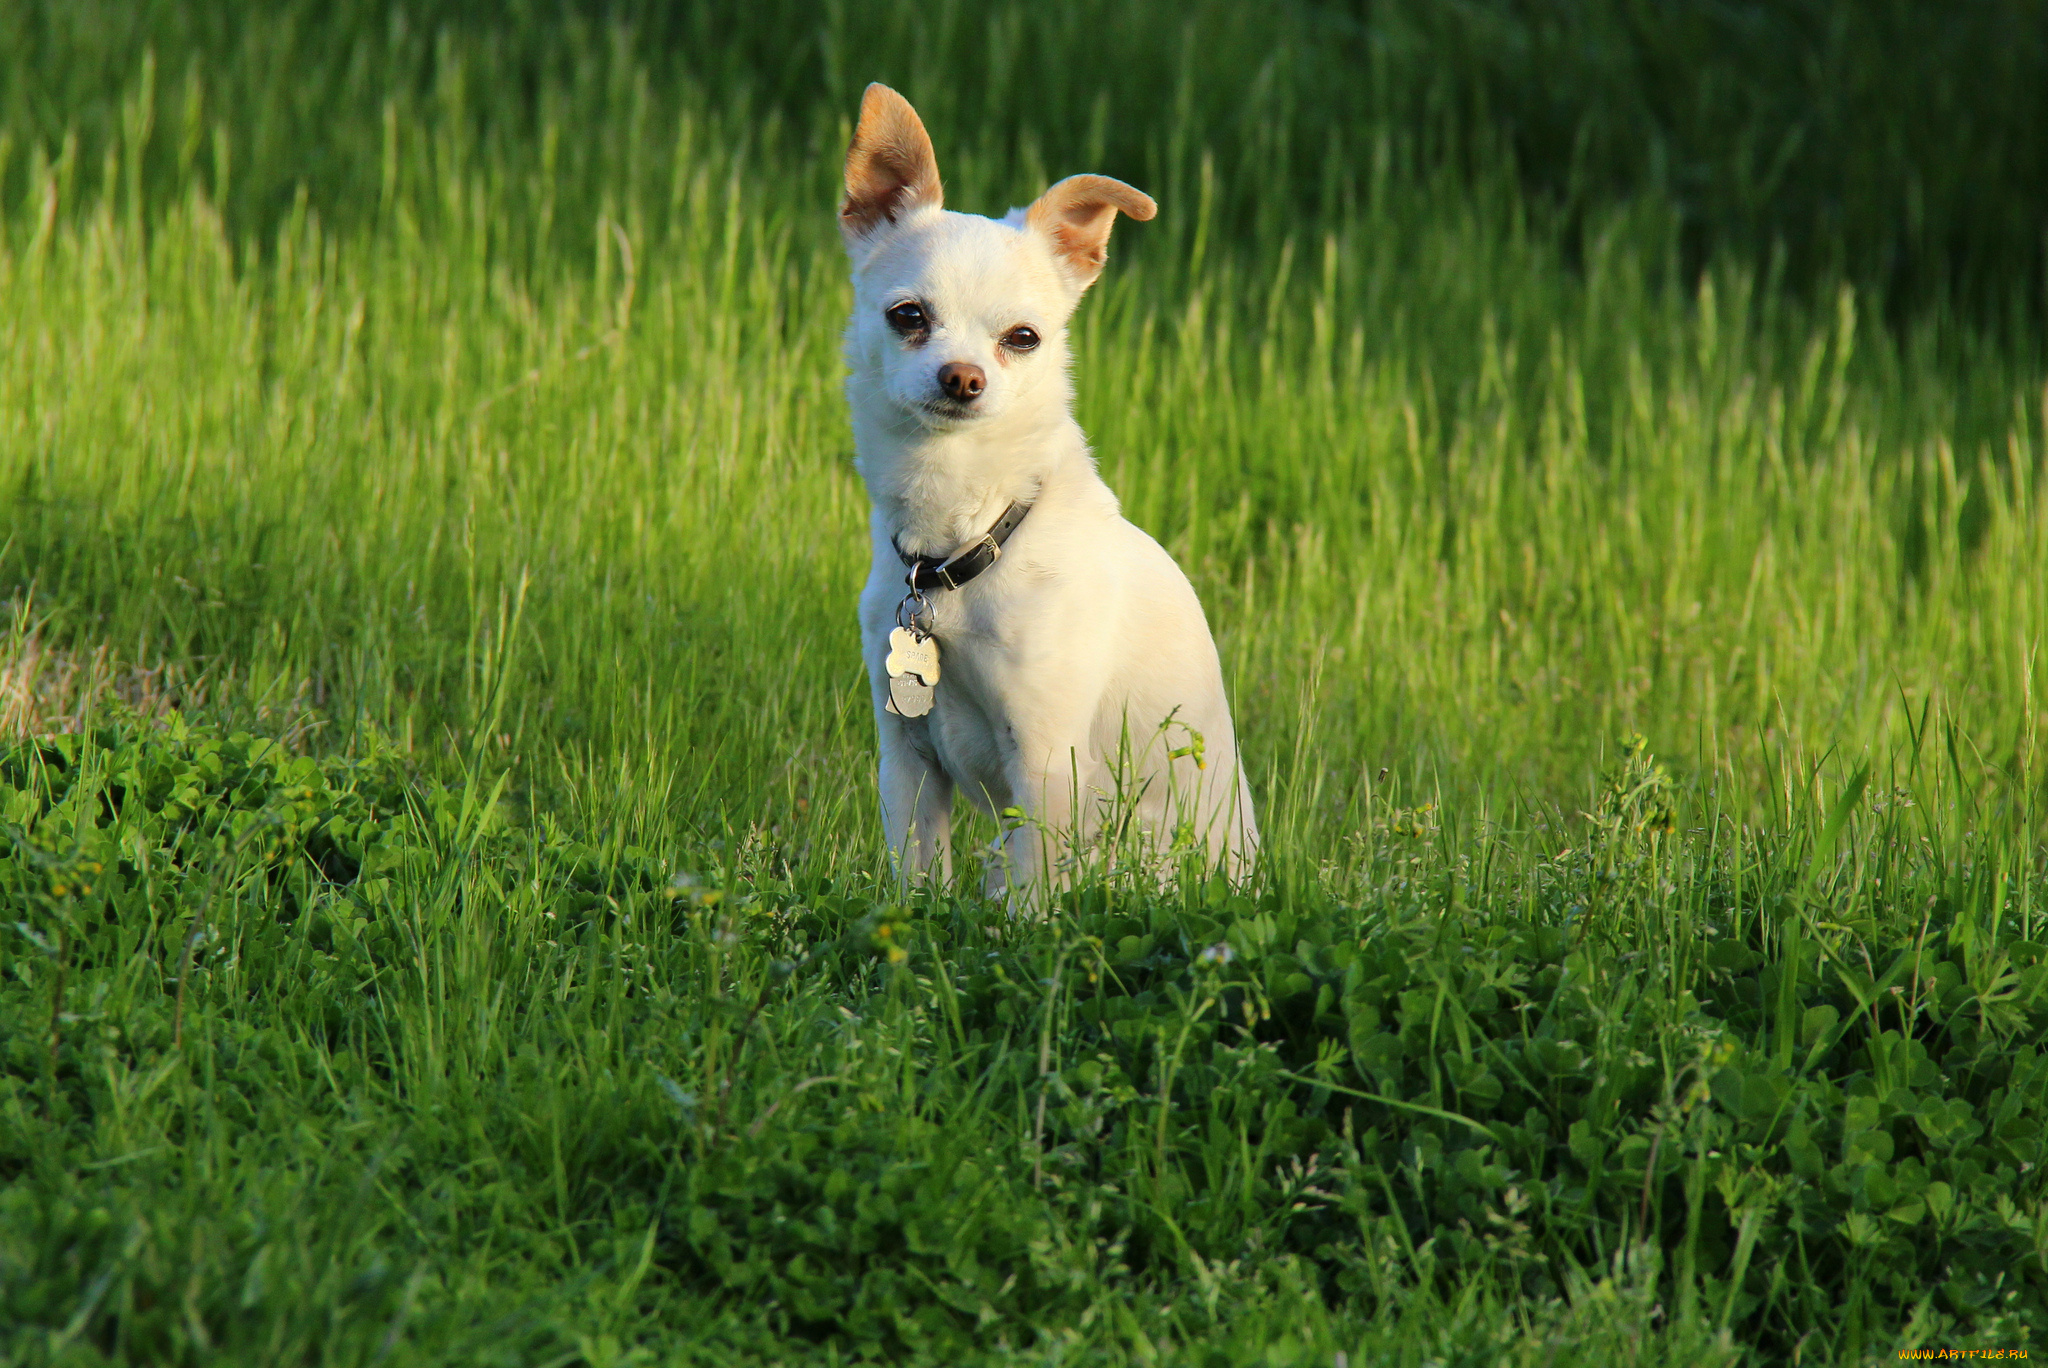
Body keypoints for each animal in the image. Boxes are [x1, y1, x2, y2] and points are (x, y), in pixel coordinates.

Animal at [839, 88, 1253, 896]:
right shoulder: (906, 759)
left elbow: (1031, 899)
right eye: (909, 316)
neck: (965, 544)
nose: (963, 377)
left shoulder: (1045, 766)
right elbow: (915, 878)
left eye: (1023, 338)